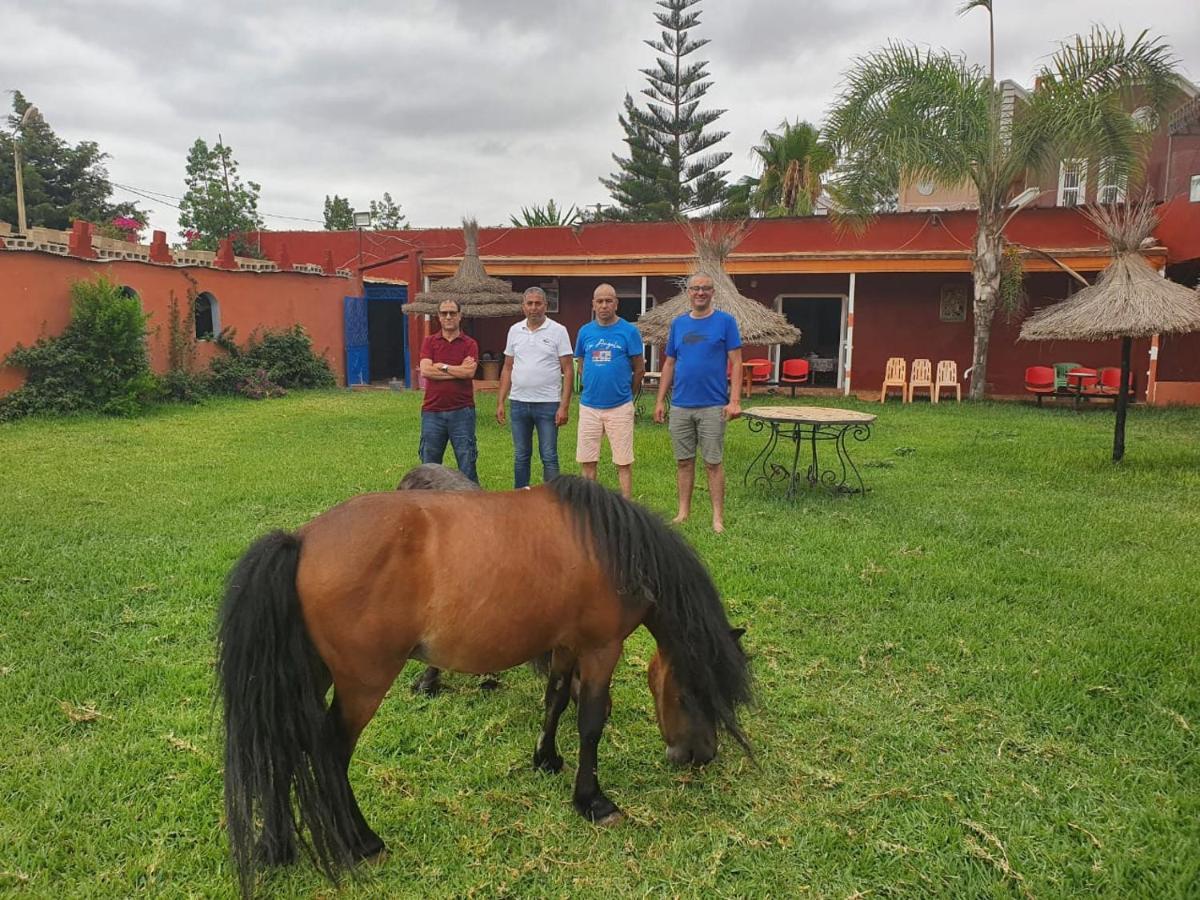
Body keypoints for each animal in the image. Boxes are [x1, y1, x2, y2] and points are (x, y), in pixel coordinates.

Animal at [218, 475, 748, 897]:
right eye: (693, 692)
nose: (702, 755)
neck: (611, 546)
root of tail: (302, 540)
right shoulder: (601, 649)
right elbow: (591, 723)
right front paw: (593, 801)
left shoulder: (565, 644)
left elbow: (556, 699)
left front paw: (546, 759)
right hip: (362, 686)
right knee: (328, 752)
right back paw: (362, 842)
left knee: (281, 746)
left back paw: (276, 845)